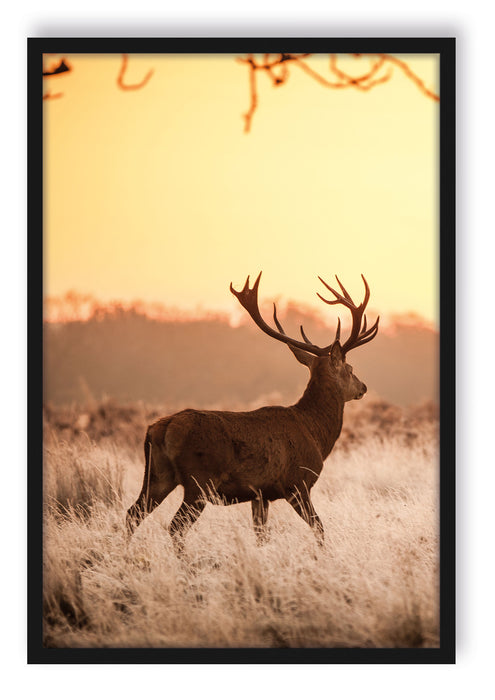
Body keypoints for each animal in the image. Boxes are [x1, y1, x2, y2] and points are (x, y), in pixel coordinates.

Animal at [127, 270, 380, 548]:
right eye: (350, 369)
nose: (363, 387)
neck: (314, 432)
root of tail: (161, 429)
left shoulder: (260, 494)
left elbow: (261, 536)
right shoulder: (297, 484)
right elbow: (320, 529)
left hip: (157, 475)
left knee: (133, 513)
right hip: (199, 480)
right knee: (175, 526)